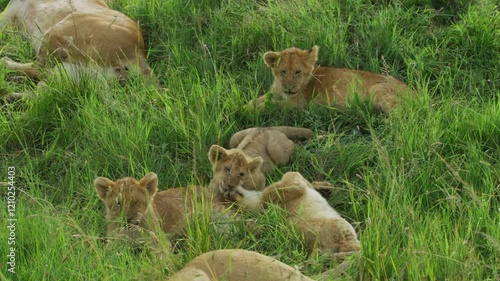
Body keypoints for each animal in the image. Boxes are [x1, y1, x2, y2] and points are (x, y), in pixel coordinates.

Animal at [0, 0, 152, 99]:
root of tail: (140, 51)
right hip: (72, 74)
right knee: (39, 88)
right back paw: (8, 95)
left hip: (62, 27)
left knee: (37, 69)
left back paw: (5, 64)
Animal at [229, 172, 362, 255]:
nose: (228, 192)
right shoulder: (291, 184)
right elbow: (292, 176)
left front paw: (324, 187)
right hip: (339, 224)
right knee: (348, 246)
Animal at [250, 45, 410, 112]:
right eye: (283, 71)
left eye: (297, 72)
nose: (289, 88)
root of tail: (413, 91)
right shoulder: (274, 92)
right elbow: (258, 99)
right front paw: (247, 106)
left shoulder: (298, 104)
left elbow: (271, 105)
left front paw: (252, 110)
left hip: (377, 88)